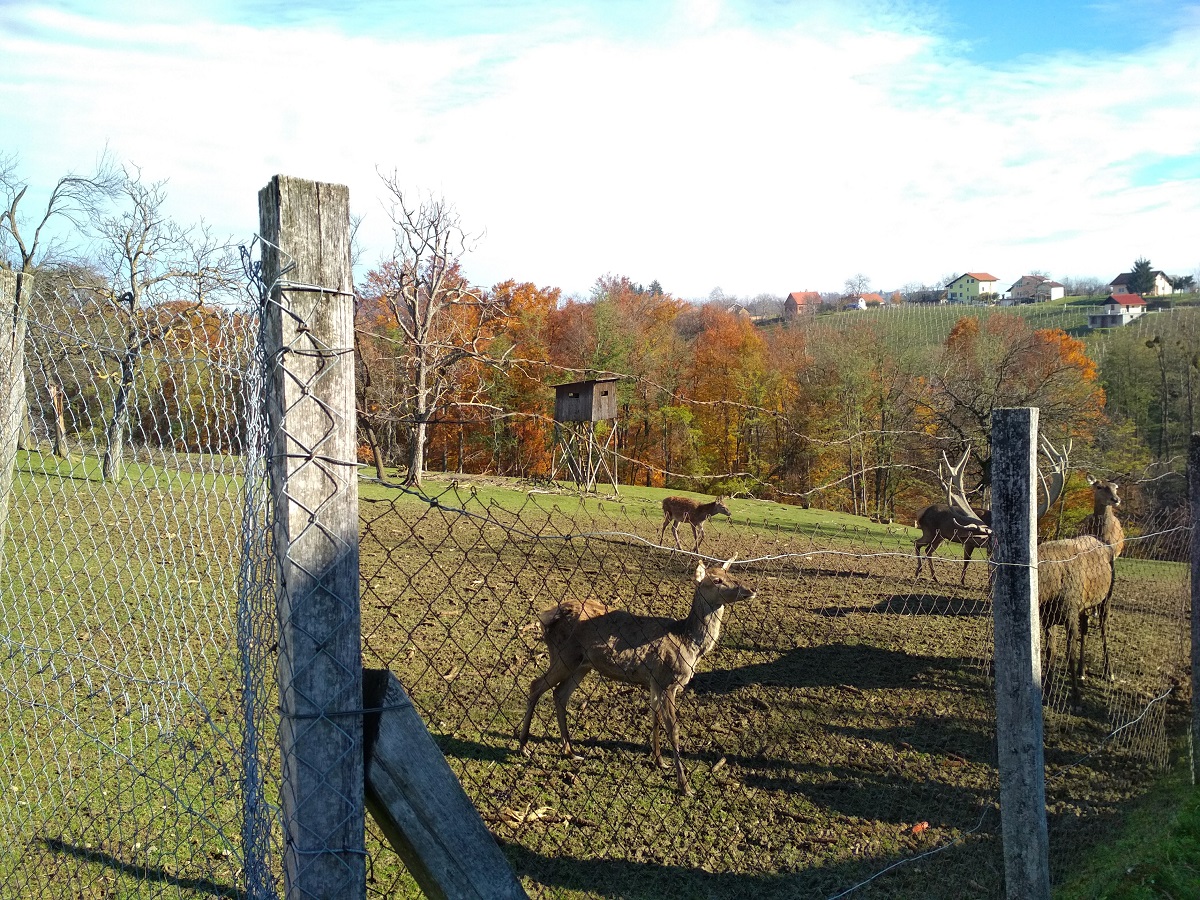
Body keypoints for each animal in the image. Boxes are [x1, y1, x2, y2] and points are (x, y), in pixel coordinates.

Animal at [513, 556, 753, 796]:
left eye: (733, 574)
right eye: (717, 580)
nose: (750, 589)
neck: (689, 643)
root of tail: (546, 617)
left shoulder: (655, 681)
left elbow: (655, 717)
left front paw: (660, 761)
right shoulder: (667, 680)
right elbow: (673, 729)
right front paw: (685, 786)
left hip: (581, 665)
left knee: (560, 694)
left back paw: (570, 751)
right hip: (564, 655)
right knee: (536, 685)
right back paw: (524, 746)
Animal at [912, 436, 1075, 585]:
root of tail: (921, 513)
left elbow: (977, 564)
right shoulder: (971, 541)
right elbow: (968, 561)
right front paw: (965, 582)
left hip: (939, 536)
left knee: (927, 550)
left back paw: (934, 577)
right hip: (930, 531)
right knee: (918, 544)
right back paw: (919, 572)